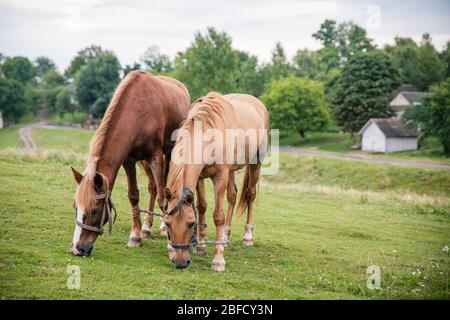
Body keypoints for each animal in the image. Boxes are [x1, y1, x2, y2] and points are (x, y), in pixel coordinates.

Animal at [70, 71, 190, 256]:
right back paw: (147, 227)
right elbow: (133, 196)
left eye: (94, 210)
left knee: (164, 188)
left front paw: (171, 241)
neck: (138, 112)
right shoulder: (128, 160)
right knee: (152, 187)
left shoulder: (156, 157)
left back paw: (163, 226)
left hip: (169, 153)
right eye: (76, 207)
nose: (77, 248)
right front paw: (136, 236)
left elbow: (162, 197)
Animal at [163, 91, 268, 272]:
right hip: (231, 171)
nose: (181, 262)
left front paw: (218, 259)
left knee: (250, 195)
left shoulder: (220, 178)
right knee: (232, 196)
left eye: (191, 224)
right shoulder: (199, 178)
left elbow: (218, 216)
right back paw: (225, 236)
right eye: (168, 224)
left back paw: (247, 236)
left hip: (256, 164)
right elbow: (202, 206)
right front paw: (201, 246)